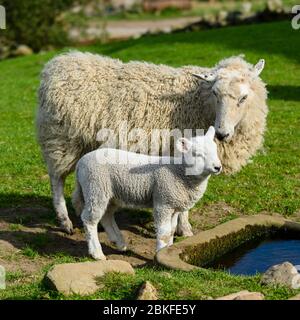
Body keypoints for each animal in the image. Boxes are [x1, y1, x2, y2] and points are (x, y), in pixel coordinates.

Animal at [36, 51, 268, 234]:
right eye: (215, 93)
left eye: (243, 97)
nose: (221, 134)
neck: (199, 102)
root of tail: (56, 63)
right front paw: (185, 229)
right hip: (60, 140)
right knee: (56, 179)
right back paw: (64, 221)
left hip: (81, 145)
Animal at [72, 126, 223, 258]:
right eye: (198, 154)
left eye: (215, 150)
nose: (218, 167)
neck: (179, 171)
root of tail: (80, 163)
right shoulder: (163, 203)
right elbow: (164, 232)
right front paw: (160, 253)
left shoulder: (174, 205)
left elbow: (171, 230)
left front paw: (167, 250)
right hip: (95, 186)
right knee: (89, 219)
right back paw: (97, 253)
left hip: (110, 194)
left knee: (107, 216)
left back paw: (119, 242)